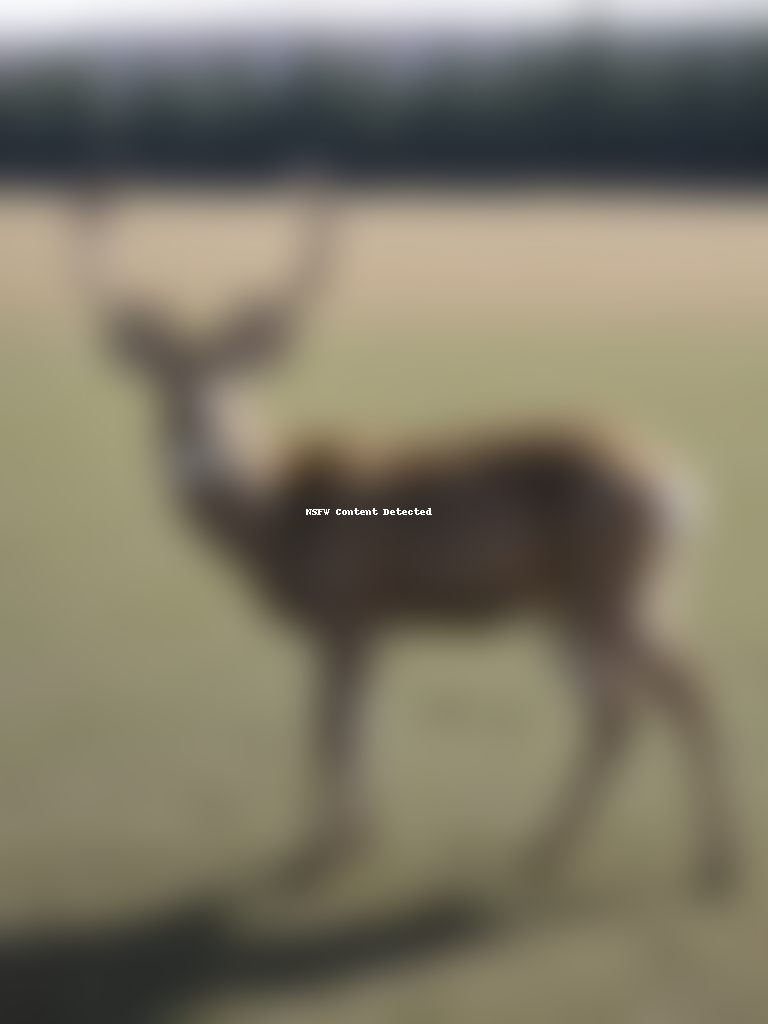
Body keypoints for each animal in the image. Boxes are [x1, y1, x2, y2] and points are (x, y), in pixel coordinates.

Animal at [77, 182, 736, 889]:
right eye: (164, 390)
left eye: (238, 380)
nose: (201, 457)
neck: (275, 515)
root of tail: (680, 484)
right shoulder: (370, 621)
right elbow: (352, 729)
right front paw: (359, 838)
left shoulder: (344, 606)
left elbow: (328, 729)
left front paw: (324, 848)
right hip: (583, 601)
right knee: (617, 710)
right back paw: (546, 847)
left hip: (612, 589)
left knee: (684, 689)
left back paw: (717, 861)